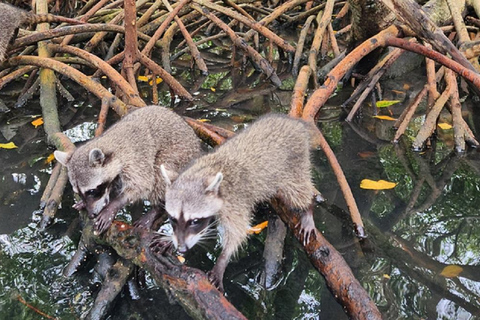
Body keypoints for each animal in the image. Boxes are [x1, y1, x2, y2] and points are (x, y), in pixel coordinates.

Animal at [54, 106, 202, 234]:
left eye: (91, 191)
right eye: (79, 192)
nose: (91, 215)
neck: (111, 144)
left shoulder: (136, 161)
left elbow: (142, 185)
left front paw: (114, 205)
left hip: (179, 157)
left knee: (161, 170)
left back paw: (158, 208)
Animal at [159, 114, 318, 292]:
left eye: (194, 221)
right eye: (173, 219)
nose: (181, 248)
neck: (202, 173)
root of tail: (294, 123)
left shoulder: (235, 202)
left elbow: (238, 232)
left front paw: (222, 260)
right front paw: (169, 238)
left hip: (293, 166)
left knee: (298, 191)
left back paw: (308, 207)